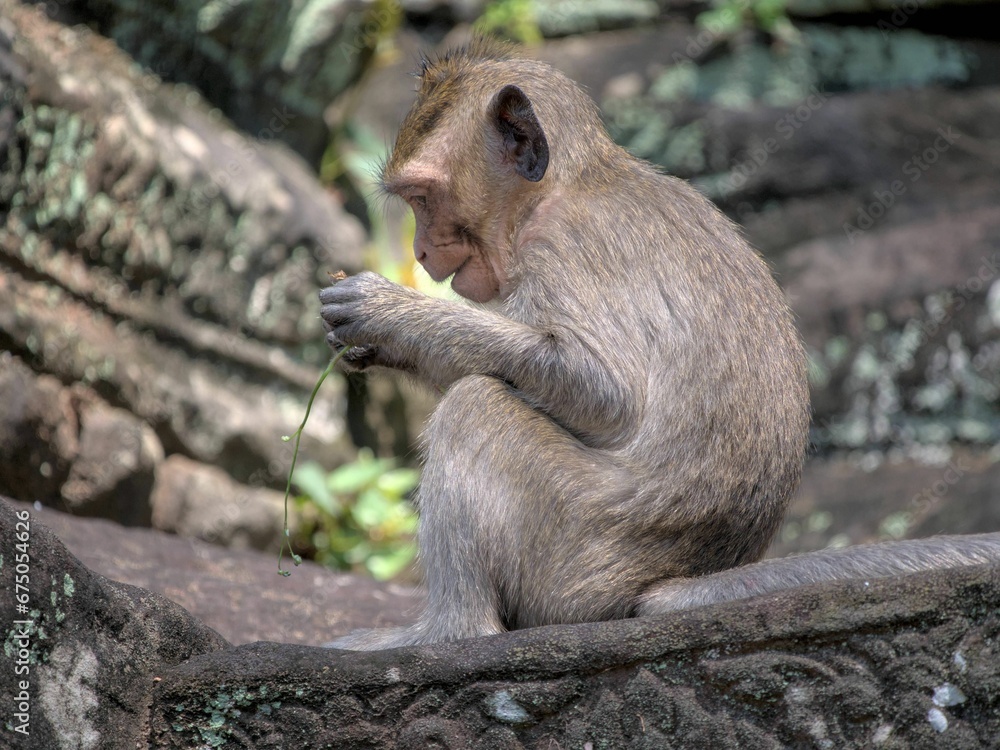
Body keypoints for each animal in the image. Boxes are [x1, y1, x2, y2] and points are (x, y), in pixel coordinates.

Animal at [319, 38, 1000, 649]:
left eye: (423, 197)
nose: (418, 251)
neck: (560, 188)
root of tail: (660, 580)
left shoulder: (566, 246)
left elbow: (602, 389)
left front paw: (387, 316)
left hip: (575, 549)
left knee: (476, 407)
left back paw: (445, 634)